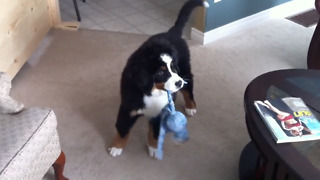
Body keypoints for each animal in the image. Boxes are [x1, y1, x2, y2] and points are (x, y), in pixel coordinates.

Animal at [109, 0, 209, 158]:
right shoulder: (128, 107)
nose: (178, 82)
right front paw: (116, 147)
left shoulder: (161, 111)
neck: (152, 92)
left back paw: (191, 106)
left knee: (189, 87)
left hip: (185, 69)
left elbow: (155, 132)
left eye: (173, 68)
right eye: (161, 72)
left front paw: (154, 148)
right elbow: (123, 129)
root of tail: (171, 32)